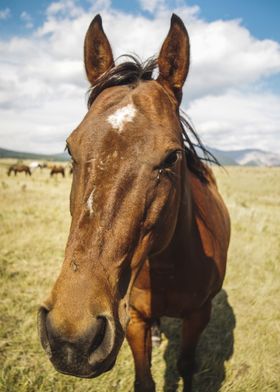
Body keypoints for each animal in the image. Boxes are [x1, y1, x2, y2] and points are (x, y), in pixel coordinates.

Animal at [37, 13, 230, 390]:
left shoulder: (199, 315)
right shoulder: (135, 320)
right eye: (70, 147)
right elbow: (144, 380)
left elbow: (186, 365)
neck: (170, 265)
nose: (72, 338)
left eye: (172, 157)